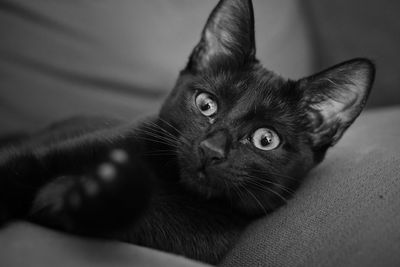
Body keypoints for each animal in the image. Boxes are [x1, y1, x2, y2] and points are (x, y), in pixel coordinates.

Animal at [0, 0, 376, 264]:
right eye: (206, 104)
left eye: (265, 139)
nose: (211, 150)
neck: (170, 187)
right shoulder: (42, 157)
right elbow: (16, 171)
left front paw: (90, 193)